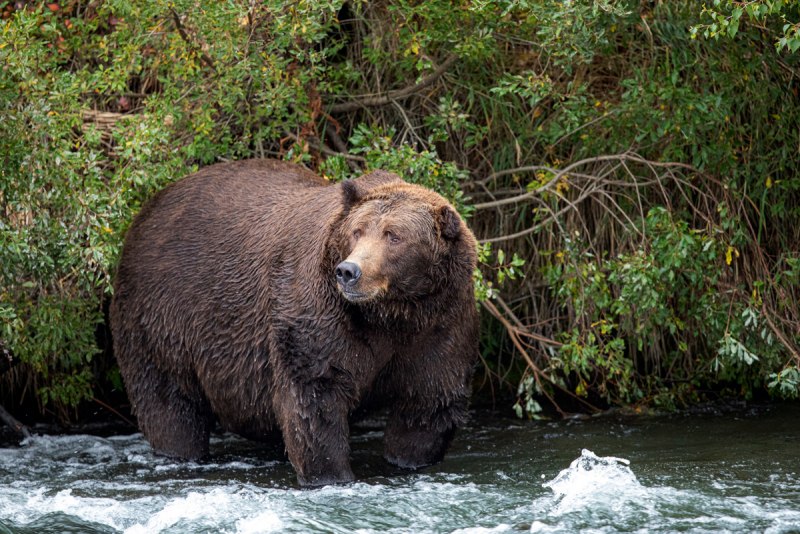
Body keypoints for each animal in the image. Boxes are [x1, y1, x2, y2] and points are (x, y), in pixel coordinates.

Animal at [110, 159, 479, 487]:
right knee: (169, 402)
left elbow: (429, 401)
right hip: (162, 316)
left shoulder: (440, 325)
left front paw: (407, 459)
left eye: (394, 235)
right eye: (357, 231)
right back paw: (180, 451)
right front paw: (331, 475)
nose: (349, 271)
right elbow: (315, 398)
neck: (391, 314)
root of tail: (147, 209)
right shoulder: (320, 314)